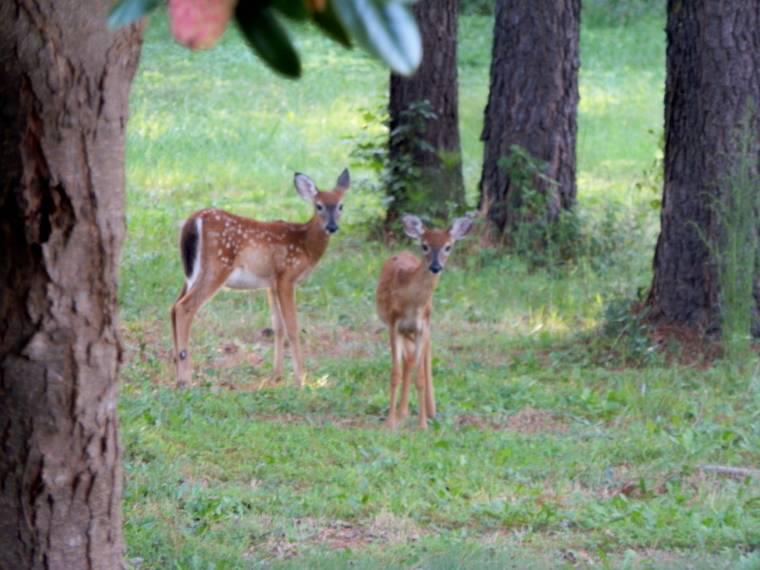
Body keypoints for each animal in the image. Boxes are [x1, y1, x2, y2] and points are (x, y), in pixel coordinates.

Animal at [170, 169, 350, 388]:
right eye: (319, 206)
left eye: (341, 205)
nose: (332, 227)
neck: (305, 244)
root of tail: (193, 220)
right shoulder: (286, 276)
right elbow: (292, 327)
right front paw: (301, 379)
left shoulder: (271, 283)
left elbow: (278, 327)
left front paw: (277, 375)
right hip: (216, 267)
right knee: (184, 307)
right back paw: (184, 380)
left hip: (191, 273)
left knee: (173, 307)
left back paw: (177, 374)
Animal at [376, 214, 474, 429]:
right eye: (425, 245)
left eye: (448, 246)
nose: (436, 267)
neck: (411, 303)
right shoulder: (394, 324)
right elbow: (395, 373)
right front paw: (390, 422)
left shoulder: (422, 327)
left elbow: (419, 377)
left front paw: (422, 425)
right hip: (404, 331)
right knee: (408, 361)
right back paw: (403, 413)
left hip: (423, 327)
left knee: (416, 359)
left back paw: (426, 410)